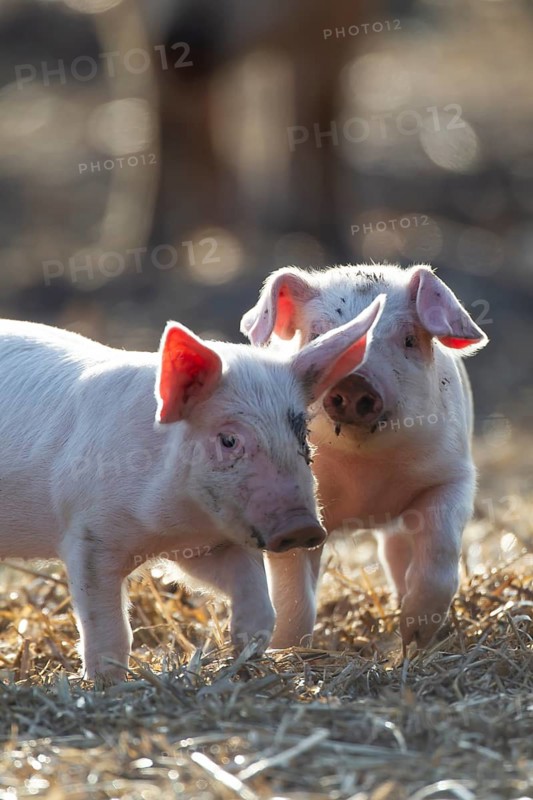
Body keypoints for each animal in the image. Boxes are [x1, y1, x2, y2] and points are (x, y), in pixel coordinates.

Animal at [0, 298, 383, 681]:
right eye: (229, 440)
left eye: (302, 434)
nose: (302, 527)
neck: (173, 524)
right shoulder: (88, 538)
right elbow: (108, 630)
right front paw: (107, 682)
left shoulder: (207, 545)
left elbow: (260, 607)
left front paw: (244, 656)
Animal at [241, 264, 488, 651]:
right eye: (317, 335)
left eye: (408, 339)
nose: (354, 382)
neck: (364, 476)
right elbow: (293, 590)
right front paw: (288, 651)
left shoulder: (453, 476)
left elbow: (440, 549)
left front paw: (416, 635)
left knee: (396, 553)